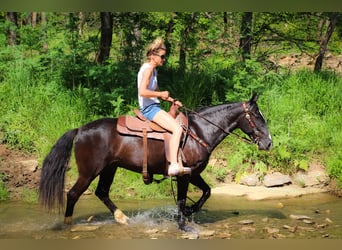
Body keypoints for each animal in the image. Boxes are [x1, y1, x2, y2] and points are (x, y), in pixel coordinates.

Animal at [38, 94, 272, 229]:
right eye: (257, 116)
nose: (269, 143)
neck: (199, 131)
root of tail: (80, 129)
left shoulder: (194, 173)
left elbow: (206, 192)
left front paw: (189, 212)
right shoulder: (184, 174)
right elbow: (182, 199)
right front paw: (182, 223)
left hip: (109, 169)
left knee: (102, 192)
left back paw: (122, 218)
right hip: (89, 172)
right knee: (73, 194)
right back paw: (68, 225)